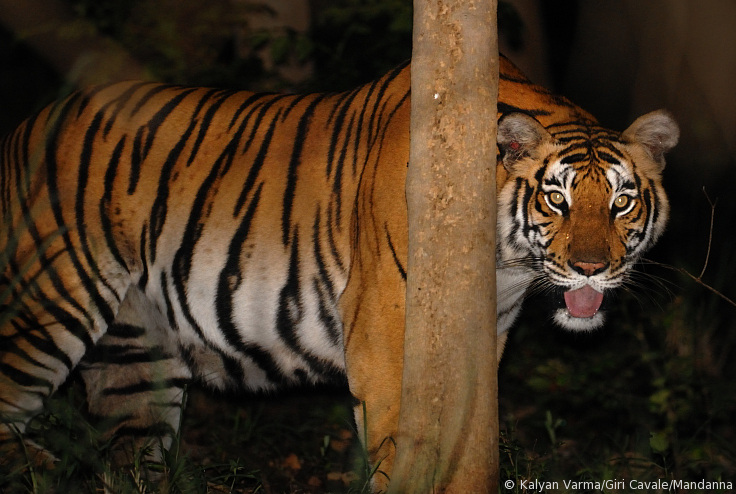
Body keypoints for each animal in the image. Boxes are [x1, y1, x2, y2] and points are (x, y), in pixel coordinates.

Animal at [0, 56, 680, 488]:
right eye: (555, 199)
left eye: (621, 201)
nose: (592, 269)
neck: (505, 268)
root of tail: (23, 126)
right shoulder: (386, 335)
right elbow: (405, 446)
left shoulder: (484, 341)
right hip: (48, 305)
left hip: (137, 363)